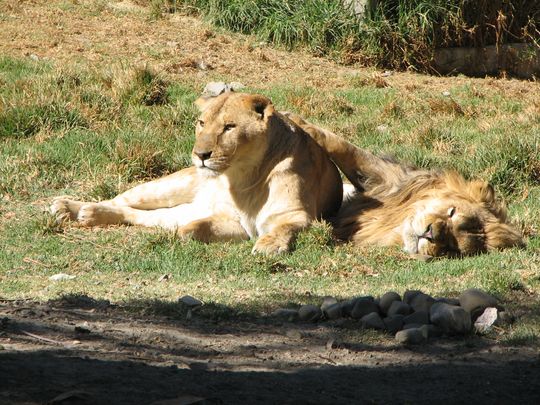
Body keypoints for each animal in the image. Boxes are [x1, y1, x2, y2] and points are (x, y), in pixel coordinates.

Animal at [49, 93, 342, 254]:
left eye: (229, 127)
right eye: (201, 123)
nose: (201, 155)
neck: (243, 176)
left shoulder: (295, 215)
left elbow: (283, 228)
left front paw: (269, 245)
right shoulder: (230, 217)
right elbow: (194, 227)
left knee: (138, 214)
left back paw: (87, 214)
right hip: (165, 186)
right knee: (118, 200)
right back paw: (71, 207)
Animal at [284, 113, 524, 258]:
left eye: (451, 247)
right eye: (452, 212)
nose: (430, 234)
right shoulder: (384, 179)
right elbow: (342, 146)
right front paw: (294, 119)